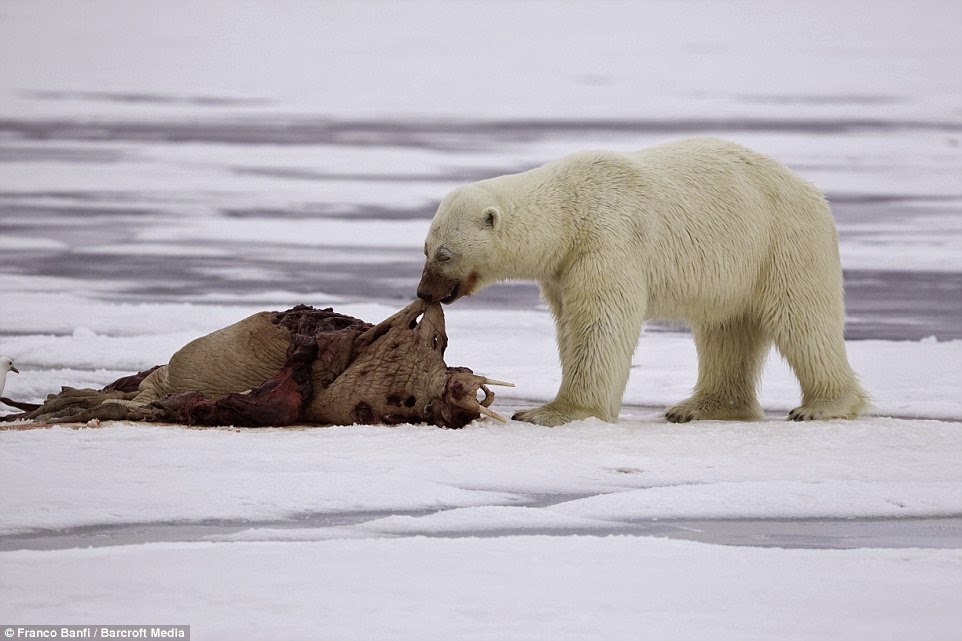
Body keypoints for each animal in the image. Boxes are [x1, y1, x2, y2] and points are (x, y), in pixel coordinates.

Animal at [417, 137, 869, 426]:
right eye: (425, 249)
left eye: (444, 254)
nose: (424, 291)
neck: (568, 210)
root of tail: (811, 190)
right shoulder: (563, 267)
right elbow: (569, 324)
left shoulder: (606, 240)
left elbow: (600, 324)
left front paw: (553, 412)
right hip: (739, 268)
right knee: (726, 330)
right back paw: (699, 407)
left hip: (782, 241)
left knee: (803, 321)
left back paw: (822, 406)